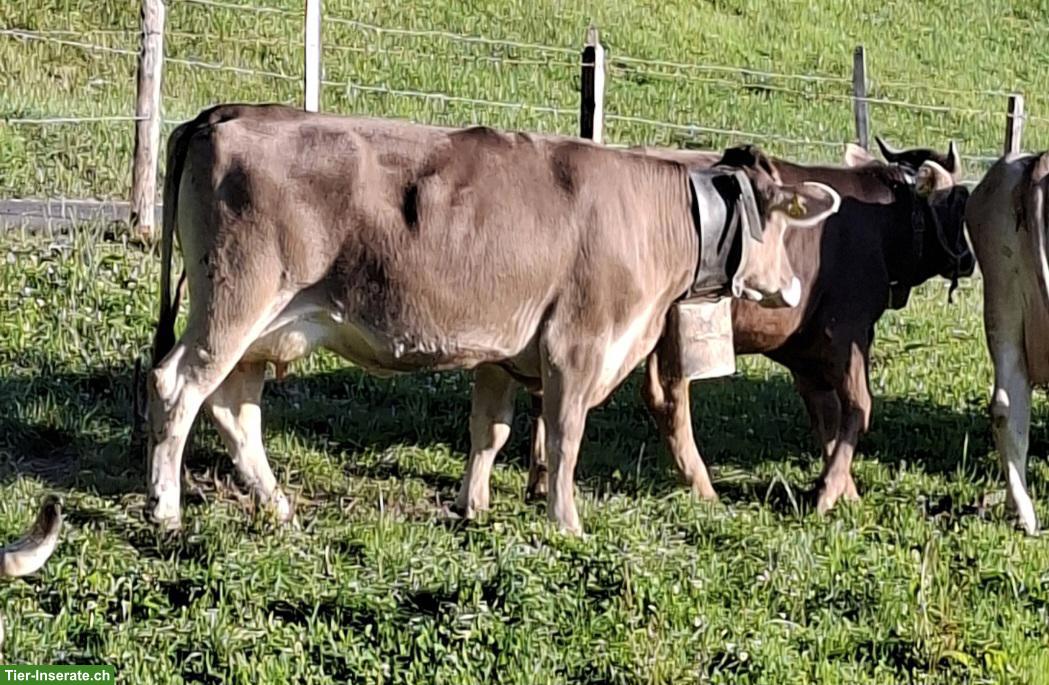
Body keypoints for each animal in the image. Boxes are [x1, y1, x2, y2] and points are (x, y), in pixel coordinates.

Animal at [145, 104, 842, 535]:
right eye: (781, 221)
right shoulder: (575, 348)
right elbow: (563, 440)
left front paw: (471, 506)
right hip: (235, 303)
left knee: (233, 405)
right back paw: (166, 510)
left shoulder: (504, 351)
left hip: (263, 328)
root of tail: (226, 114)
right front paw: (567, 523)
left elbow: (492, 432)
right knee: (179, 387)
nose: (791, 286)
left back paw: (276, 503)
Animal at [526, 143, 974, 513]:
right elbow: (858, 408)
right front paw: (830, 491)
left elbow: (826, 418)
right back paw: (702, 486)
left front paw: (840, 488)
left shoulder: (806, 352)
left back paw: (540, 478)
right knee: (667, 400)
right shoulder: (847, 332)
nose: (969, 260)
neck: (883, 223)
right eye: (959, 200)